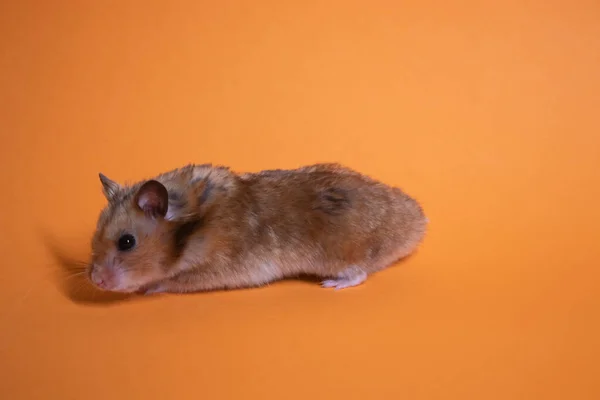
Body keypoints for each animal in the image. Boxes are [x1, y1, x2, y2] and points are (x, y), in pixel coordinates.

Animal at [86, 162, 428, 294]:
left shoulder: (215, 269)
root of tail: (419, 222)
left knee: (358, 274)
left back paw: (331, 284)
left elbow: (172, 281)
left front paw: (148, 288)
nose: (95, 281)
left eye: (126, 242)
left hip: (342, 254)